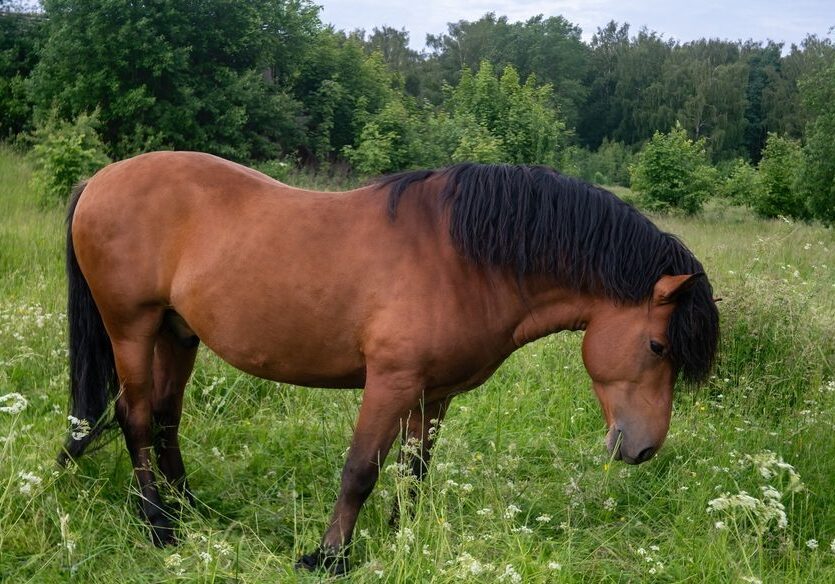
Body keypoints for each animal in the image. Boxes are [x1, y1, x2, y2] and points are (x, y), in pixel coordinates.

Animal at [58, 152, 719, 574]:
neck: (464, 258)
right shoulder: (390, 383)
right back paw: (158, 526)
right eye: (659, 347)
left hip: (178, 333)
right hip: (132, 328)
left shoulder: (435, 394)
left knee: (165, 417)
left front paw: (406, 539)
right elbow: (360, 471)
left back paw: (190, 509)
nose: (643, 449)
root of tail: (101, 179)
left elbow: (413, 471)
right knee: (136, 416)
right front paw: (328, 557)